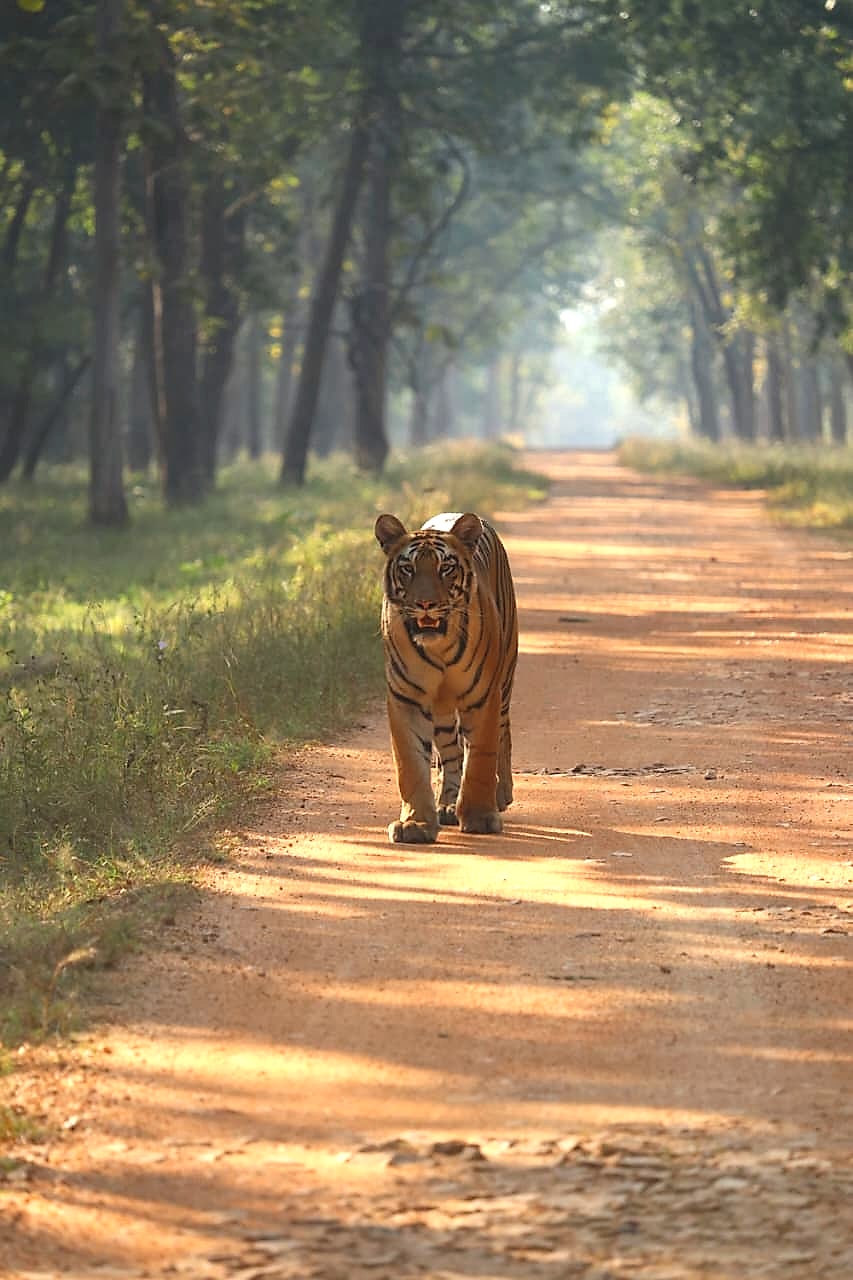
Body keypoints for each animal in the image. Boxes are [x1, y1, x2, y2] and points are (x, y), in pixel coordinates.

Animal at [374, 510, 518, 844]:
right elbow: (411, 764)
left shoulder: (484, 698)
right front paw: (415, 823)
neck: (438, 647)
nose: (426, 604)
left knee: (503, 734)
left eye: (446, 568)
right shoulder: (406, 699)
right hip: (440, 712)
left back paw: (501, 794)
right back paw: (449, 804)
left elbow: (480, 758)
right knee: (451, 753)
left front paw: (480, 817)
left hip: (505, 680)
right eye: (408, 569)